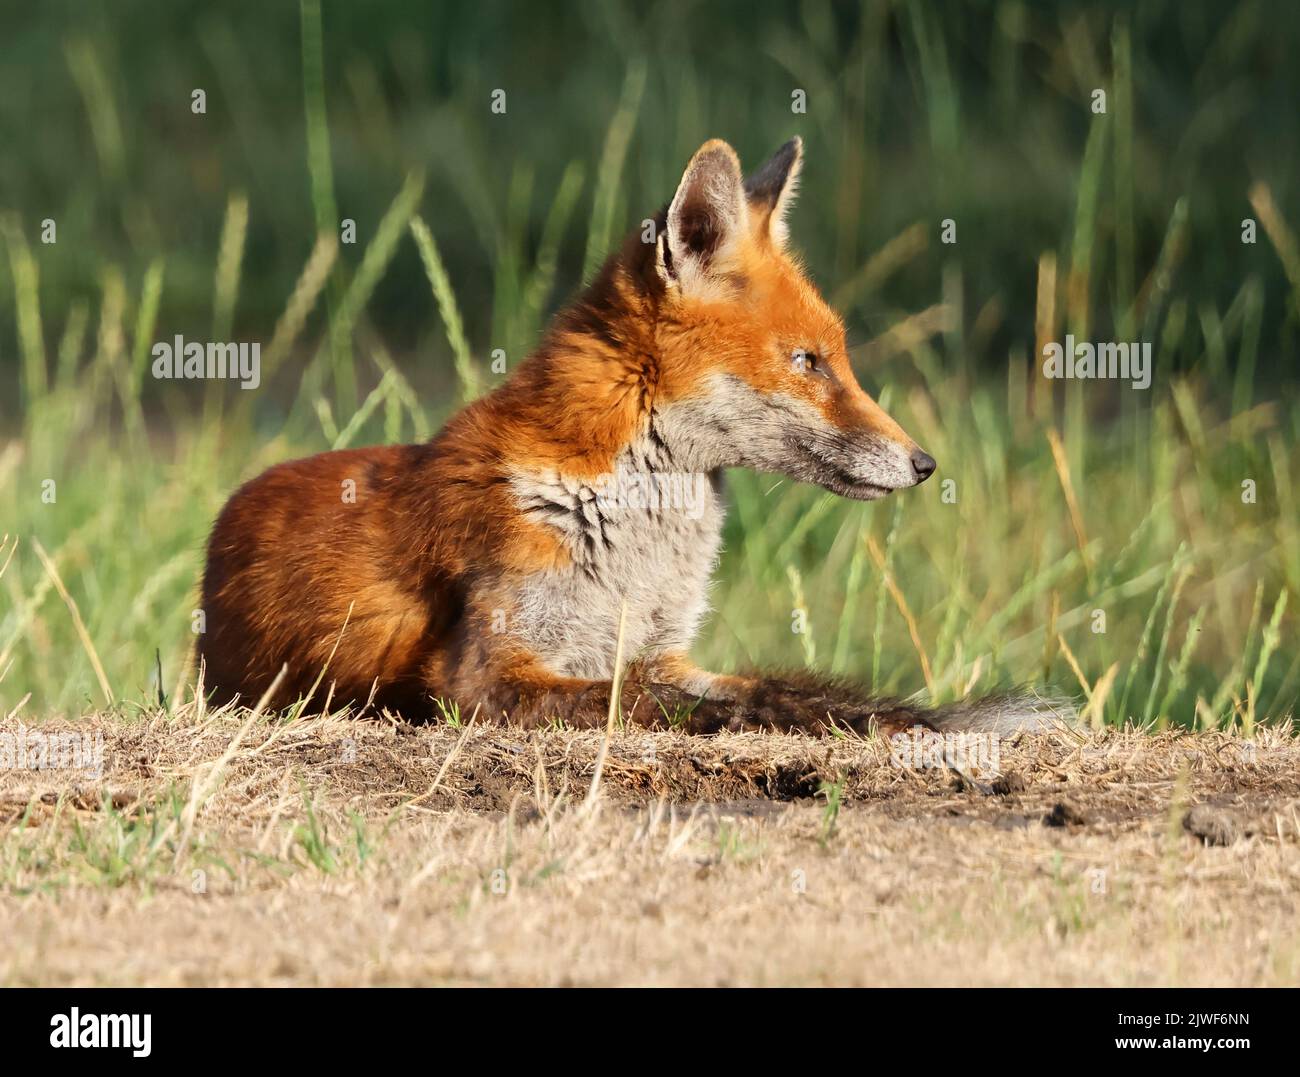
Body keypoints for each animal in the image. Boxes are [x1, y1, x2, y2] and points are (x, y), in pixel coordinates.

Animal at [201, 137, 1066, 738]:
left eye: (836, 357)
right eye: (808, 362)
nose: (924, 463)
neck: (633, 538)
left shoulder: (662, 648)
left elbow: (766, 686)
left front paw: (891, 713)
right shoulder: (483, 677)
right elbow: (687, 704)